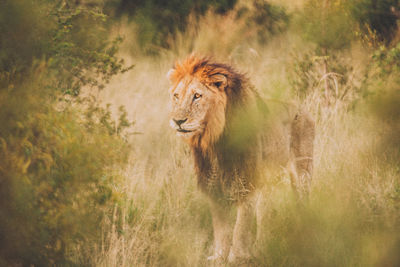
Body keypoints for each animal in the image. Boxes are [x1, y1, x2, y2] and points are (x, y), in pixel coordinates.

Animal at [166, 54, 316, 264]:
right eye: (176, 96)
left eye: (197, 96)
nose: (178, 121)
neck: (215, 142)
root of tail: (303, 109)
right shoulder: (214, 186)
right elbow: (221, 227)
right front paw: (219, 256)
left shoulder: (246, 183)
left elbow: (241, 227)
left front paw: (237, 257)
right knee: (264, 212)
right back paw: (262, 247)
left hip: (302, 172)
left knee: (302, 202)